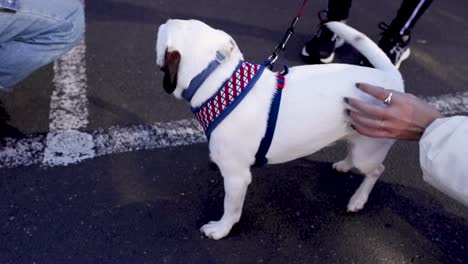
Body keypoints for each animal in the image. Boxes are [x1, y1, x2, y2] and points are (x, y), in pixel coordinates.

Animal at [155, 19, 404, 240]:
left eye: (160, 34)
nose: (160, 24)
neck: (219, 84)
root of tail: (390, 77)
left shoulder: (237, 178)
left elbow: (230, 209)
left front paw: (221, 229)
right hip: (356, 137)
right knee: (352, 150)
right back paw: (344, 165)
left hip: (368, 152)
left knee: (376, 170)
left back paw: (358, 199)